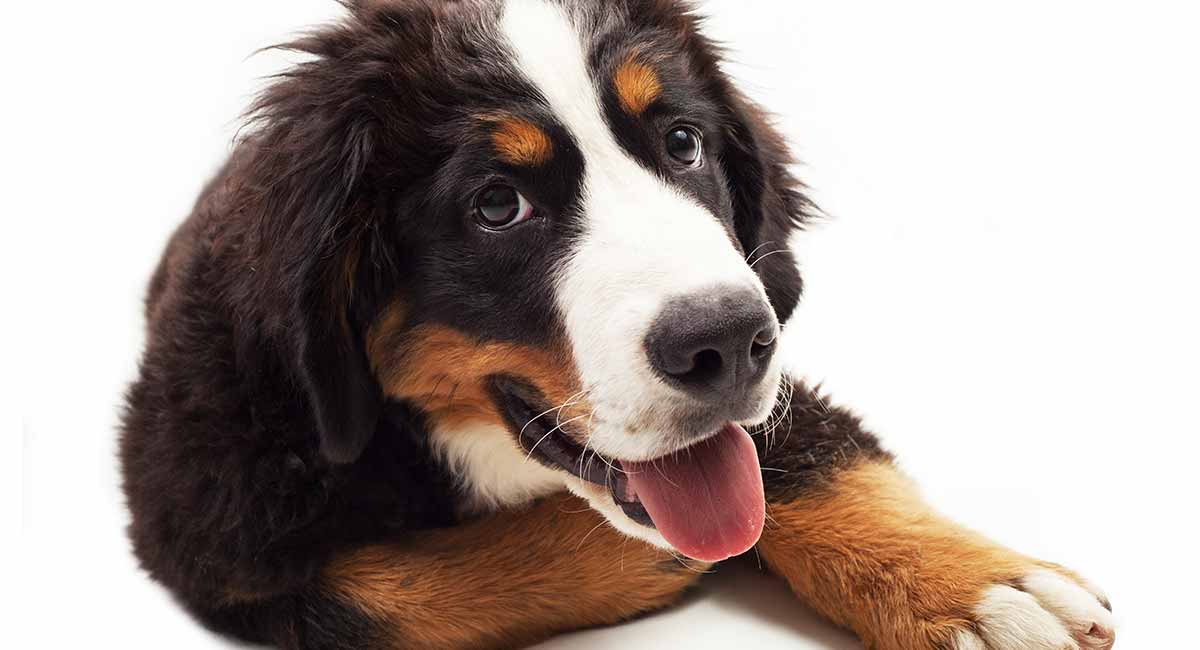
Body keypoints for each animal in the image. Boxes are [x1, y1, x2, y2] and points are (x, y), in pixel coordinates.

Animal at [121, 1, 1113, 650]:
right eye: (497, 205)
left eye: (683, 144)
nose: (728, 343)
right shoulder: (204, 494)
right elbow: (372, 594)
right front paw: (625, 558)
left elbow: (810, 458)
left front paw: (977, 588)